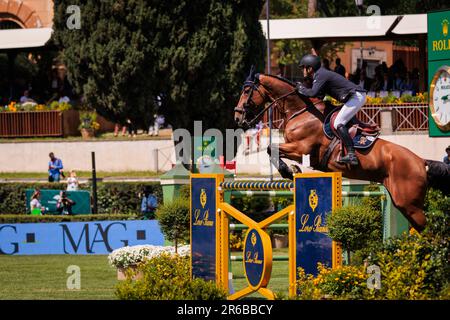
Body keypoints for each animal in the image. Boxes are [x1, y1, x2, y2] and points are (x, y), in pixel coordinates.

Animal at [234, 70, 448, 231]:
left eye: (247, 90)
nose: (237, 117)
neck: (301, 111)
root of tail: (421, 162)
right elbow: (272, 149)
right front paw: (292, 171)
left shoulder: (302, 148)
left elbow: (272, 148)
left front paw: (288, 171)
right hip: (402, 202)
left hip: (409, 204)